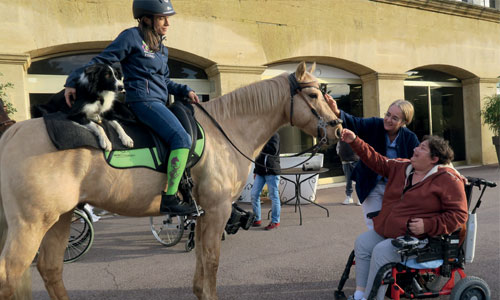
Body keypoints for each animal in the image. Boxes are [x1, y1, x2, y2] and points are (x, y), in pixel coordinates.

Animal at [0, 61, 342, 300]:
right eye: (313, 94)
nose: (338, 128)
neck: (224, 129)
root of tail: (12, 133)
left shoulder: (204, 213)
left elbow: (202, 262)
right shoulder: (217, 210)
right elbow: (211, 261)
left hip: (60, 218)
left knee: (49, 269)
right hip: (32, 224)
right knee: (12, 274)